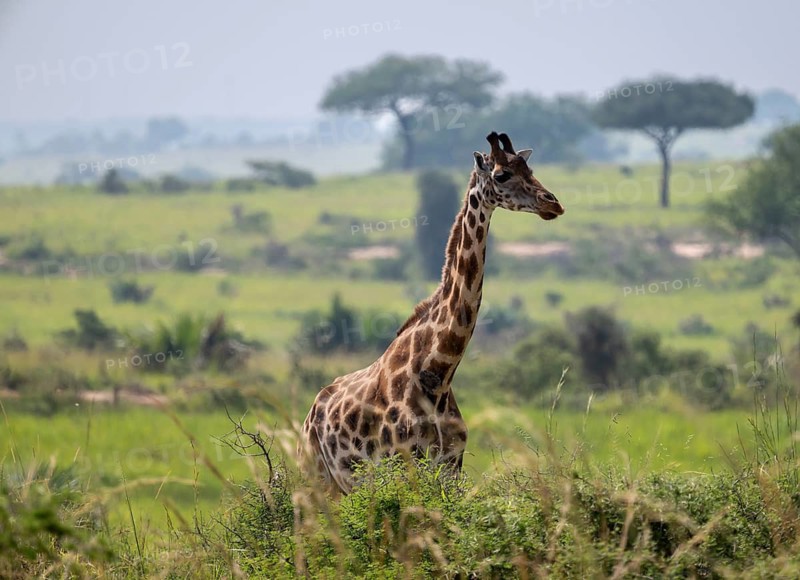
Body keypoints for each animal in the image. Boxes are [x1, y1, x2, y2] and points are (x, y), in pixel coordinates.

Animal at [298, 131, 565, 494]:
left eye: (530, 169)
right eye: (501, 175)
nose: (553, 204)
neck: (439, 372)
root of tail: (310, 414)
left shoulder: (450, 467)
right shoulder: (401, 465)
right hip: (314, 478)